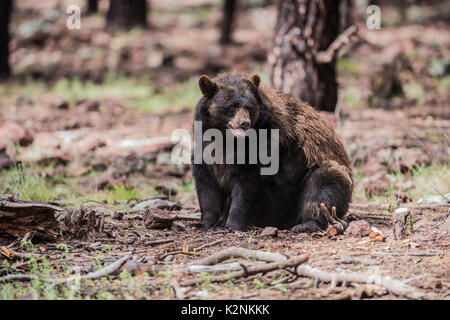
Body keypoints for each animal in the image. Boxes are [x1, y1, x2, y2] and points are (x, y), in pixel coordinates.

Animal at [192, 72, 354, 232]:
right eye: (232, 105)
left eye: (250, 107)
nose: (244, 123)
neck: (227, 140)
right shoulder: (205, 152)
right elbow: (207, 188)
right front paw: (203, 223)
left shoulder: (265, 148)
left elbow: (247, 187)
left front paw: (234, 225)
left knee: (323, 185)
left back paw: (306, 224)